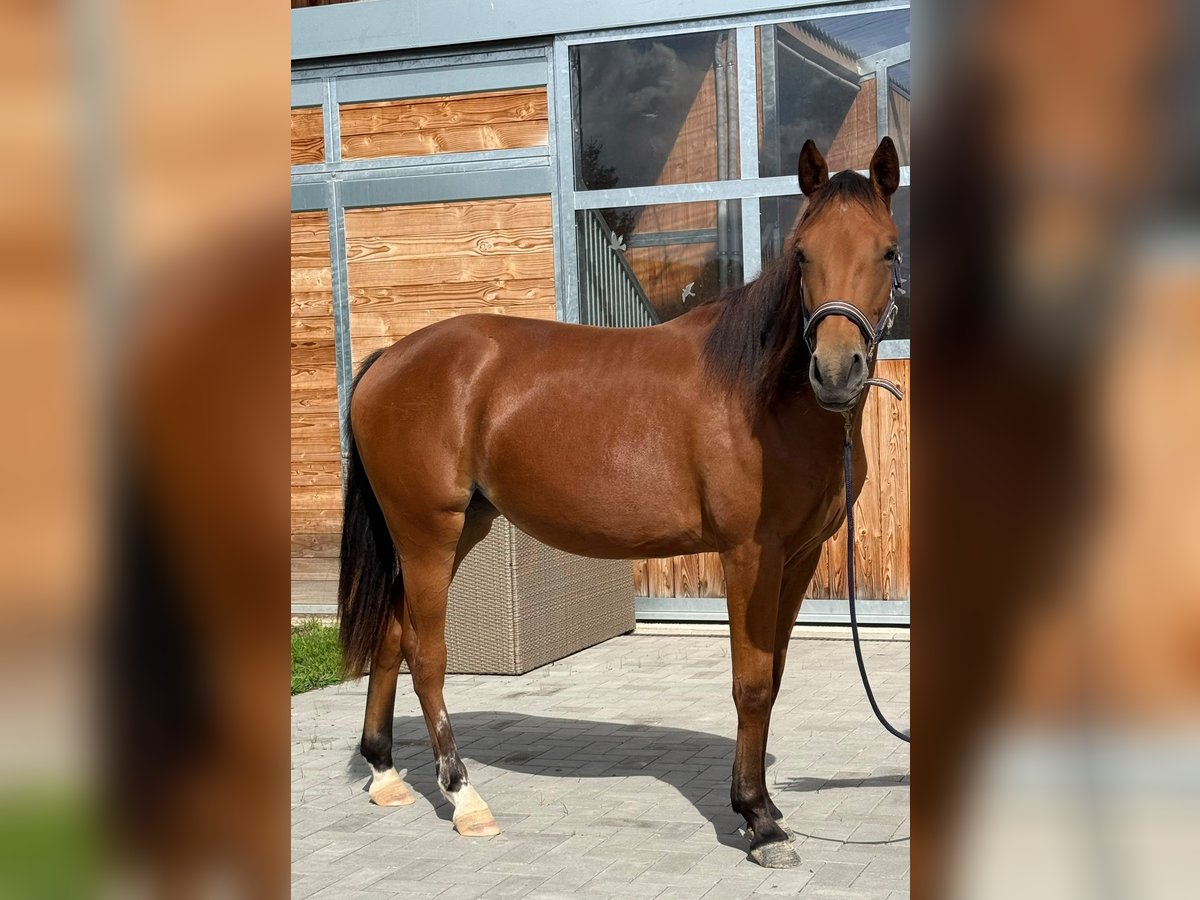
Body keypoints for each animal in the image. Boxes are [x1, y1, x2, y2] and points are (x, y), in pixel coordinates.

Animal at [336, 136, 903, 868]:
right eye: (803, 253)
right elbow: (750, 683)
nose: (835, 372)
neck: (762, 396)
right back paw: (464, 799)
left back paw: (384, 773)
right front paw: (758, 821)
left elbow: (773, 678)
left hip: (454, 531)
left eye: (887, 250)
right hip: (428, 532)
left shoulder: (800, 556)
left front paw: (764, 808)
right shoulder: (750, 555)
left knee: (391, 633)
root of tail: (388, 360)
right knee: (426, 653)